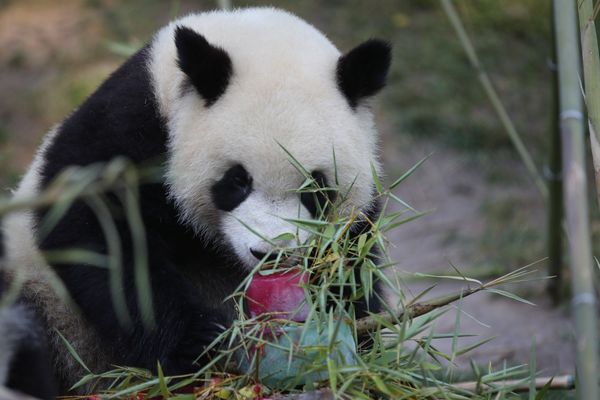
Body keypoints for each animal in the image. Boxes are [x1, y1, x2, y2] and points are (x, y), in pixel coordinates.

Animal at [0, 6, 392, 394]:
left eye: (314, 188)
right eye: (237, 181)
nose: (270, 254)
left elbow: (352, 269)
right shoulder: (129, 132)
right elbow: (99, 233)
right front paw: (198, 346)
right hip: (45, 300)